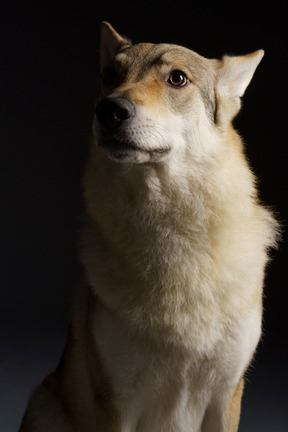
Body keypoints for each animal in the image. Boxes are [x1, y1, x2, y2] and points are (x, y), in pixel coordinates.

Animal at [19, 21, 278, 432]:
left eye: (177, 79)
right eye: (110, 75)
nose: (109, 110)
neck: (173, 233)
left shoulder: (226, 396)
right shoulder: (116, 403)